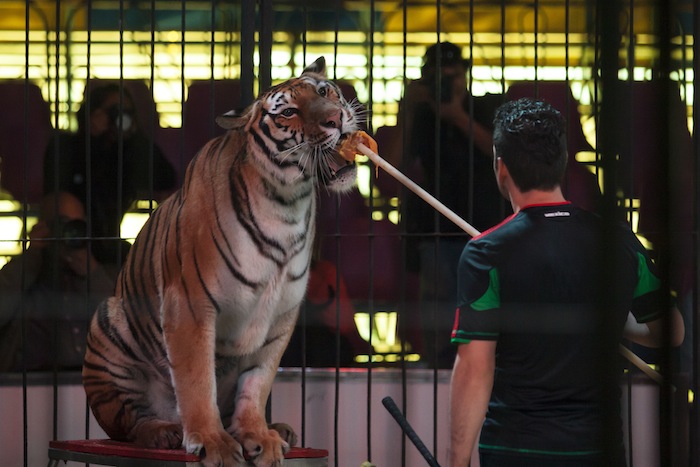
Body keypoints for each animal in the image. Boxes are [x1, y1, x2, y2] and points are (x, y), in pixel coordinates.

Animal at [83, 57, 360, 467]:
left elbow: (257, 383)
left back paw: (280, 429)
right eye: (289, 112)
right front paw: (214, 442)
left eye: (324, 91)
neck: (288, 203)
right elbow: (197, 381)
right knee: (128, 423)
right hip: (108, 324)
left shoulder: (280, 315)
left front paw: (258, 435)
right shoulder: (189, 305)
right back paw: (164, 432)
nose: (335, 119)